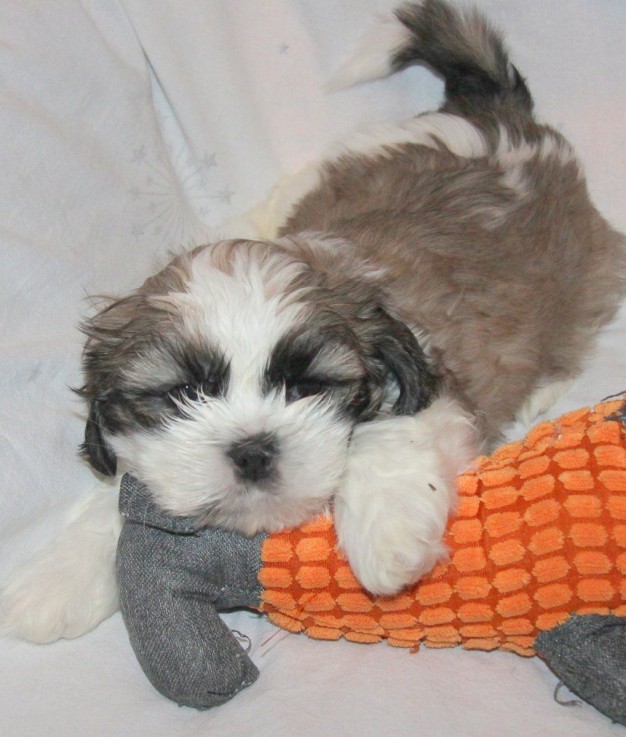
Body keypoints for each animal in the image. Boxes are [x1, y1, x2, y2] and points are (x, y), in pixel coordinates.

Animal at [1, 0, 624, 640]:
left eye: (308, 386)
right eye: (183, 394)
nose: (253, 449)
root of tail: (494, 114)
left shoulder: (435, 384)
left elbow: (383, 432)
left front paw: (387, 539)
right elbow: (122, 489)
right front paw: (57, 579)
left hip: (584, 265)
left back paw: (543, 383)